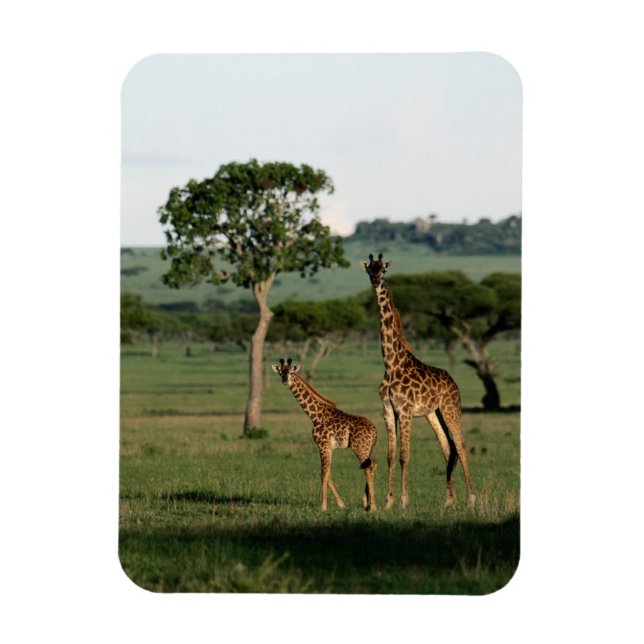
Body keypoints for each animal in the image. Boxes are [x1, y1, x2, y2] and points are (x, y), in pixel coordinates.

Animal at [272, 358, 378, 511]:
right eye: (281, 372)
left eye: (291, 372)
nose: (285, 381)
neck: (315, 415)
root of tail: (375, 430)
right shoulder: (329, 447)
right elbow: (328, 474)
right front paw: (341, 504)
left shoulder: (322, 444)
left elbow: (323, 474)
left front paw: (323, 506)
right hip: (368, 448)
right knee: (373, 465)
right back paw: (366, 503)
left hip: (360, 448)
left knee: (368, 468)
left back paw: (373, 506)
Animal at [360, 253, 476, 509]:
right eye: (369, 270)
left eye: (383, 270)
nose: (375, 280)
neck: (390, 364)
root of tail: (454, 383)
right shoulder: (388, 410)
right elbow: (391, 456)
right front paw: (388, 501)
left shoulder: (405, 411)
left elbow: (405, 456)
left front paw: (403, 501)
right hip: (434, 413)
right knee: (448, 448)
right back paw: (448, 501)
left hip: (451, 409)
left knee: (461, 445)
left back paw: (471, 499)